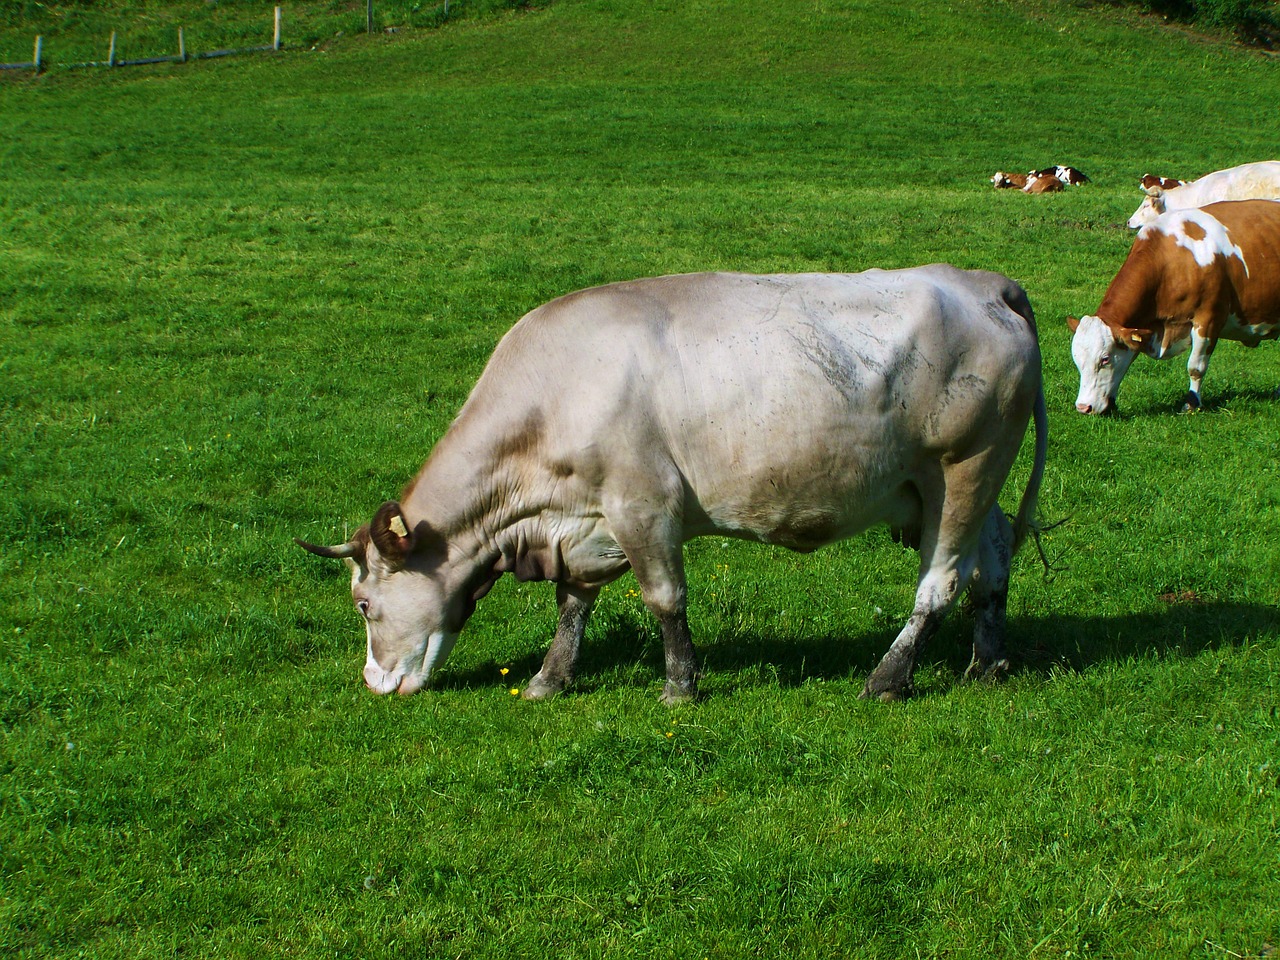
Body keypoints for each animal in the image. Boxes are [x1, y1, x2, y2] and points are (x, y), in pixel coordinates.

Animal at [299, 267, 1049, 701]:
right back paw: (988, 662)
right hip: (954, 485)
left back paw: (888, 678)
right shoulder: (589, 522)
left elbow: (665, 599)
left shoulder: (644, 504)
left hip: (965, 465)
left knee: (941, 582)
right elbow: (573, 604)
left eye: (364, 605)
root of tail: (982, 282)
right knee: (993, 562)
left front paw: (680, 685)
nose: (372, 681)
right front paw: (549, 679)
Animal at [1070, 199, 1280, 414]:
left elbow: (1196, 367)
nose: (1083, 407)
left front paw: (1192, 403)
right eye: (1076, 358)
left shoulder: (1208, 320)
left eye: (1104, 359)